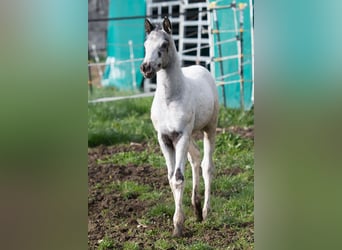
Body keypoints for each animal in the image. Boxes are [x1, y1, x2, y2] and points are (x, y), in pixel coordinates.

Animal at [140, 17, 218, 236]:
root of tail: (201, 68)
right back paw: (197, 208)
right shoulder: (165, 138)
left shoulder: (181, 135)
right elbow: (170, 177)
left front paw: (178, 226)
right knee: (196, 158)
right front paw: (179, 222)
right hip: (189, 136)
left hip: (210, 128)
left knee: (207, 165)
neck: (170, 99)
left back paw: (205, 211)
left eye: (164, 45)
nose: (146, 67)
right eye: (145, 45)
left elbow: (178, 178)